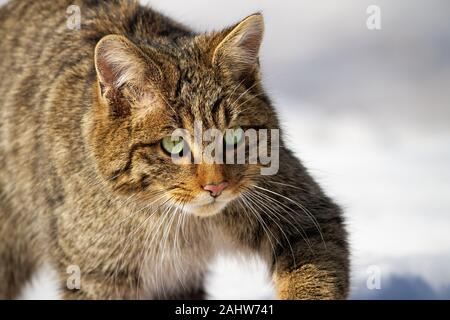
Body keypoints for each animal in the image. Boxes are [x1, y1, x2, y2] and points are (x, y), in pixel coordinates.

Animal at [0, 0, 350, 300]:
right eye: (174, 144)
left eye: (234, 137)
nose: (215, 187)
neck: (183, 225)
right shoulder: (95, 272)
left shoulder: (303, 211)